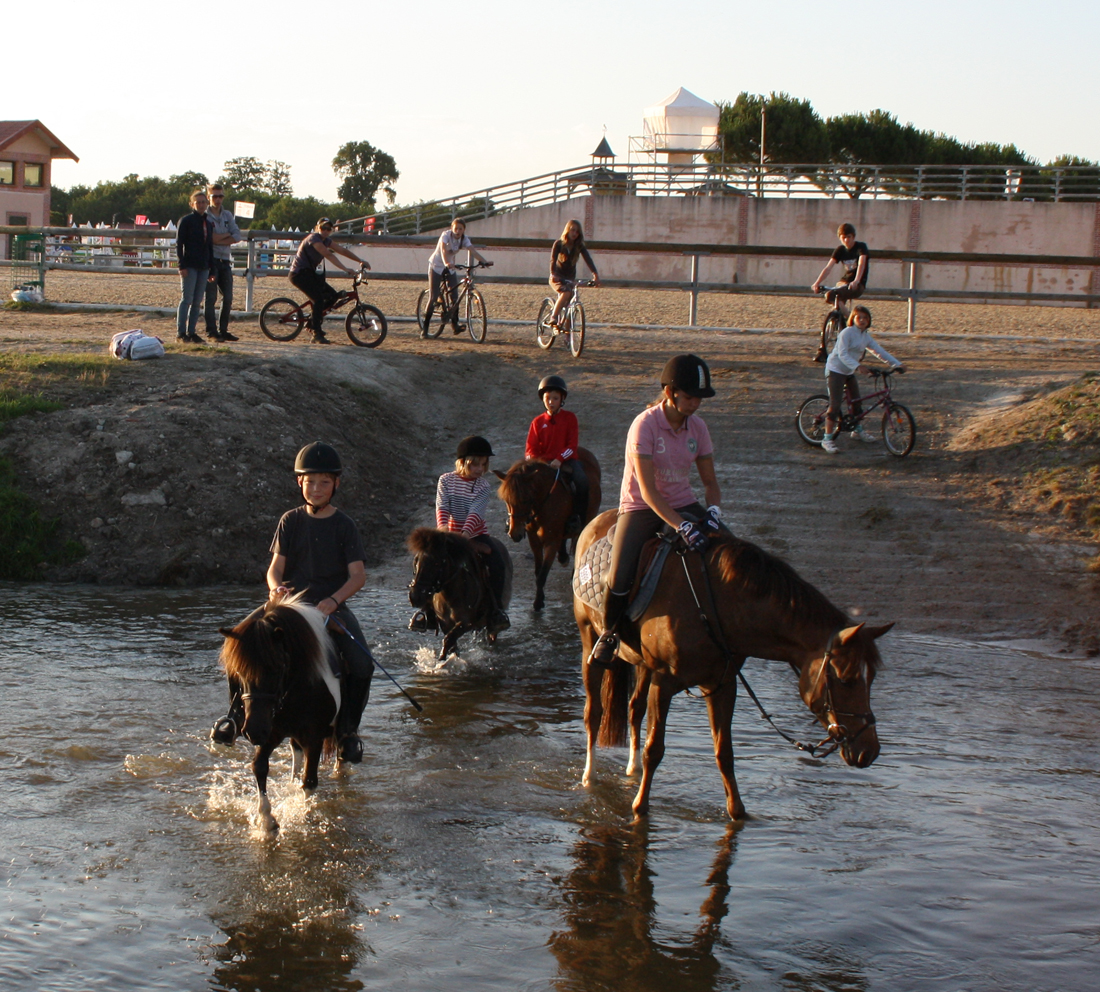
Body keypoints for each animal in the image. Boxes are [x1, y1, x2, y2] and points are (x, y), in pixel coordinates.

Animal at [217, 602, 338, 835]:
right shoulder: (270, 731)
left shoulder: (314, 736)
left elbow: (310, 781)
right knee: (295, 752)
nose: (253, 731)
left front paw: (304, 815)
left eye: (276, 668)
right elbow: (259, 766)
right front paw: (267, 820)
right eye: (238, 672)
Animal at [407, 527, 512, 659]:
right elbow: (451, 644)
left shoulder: (466, 622)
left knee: (492, 635)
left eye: (436, 563)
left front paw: (442, 661)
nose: (414, 597)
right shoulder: (445, 623)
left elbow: (448, 640)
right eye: (416, 560)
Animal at [497, 446, 602, 611]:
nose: (514, 534)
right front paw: (539, 599)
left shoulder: (552, 541)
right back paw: (563, 557)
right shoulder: (534, 539)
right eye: (507, 500)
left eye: (525, 500)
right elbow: (538, 571)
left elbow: (542, 574)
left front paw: (538, 603)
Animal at [572, 512, 888, 822]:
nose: (870, 752)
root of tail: (598, 520)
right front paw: (639, 809)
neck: (717, 605)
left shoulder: (722, 684)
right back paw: (589, 777)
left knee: (635, 709)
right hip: (589, 639)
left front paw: (738, 813)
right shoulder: (664, 683)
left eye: (871, 679)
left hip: (643, 665)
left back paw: (632, 769)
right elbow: (655, 748)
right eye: (845, 679)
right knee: (594, 713)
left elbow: (724, 752)